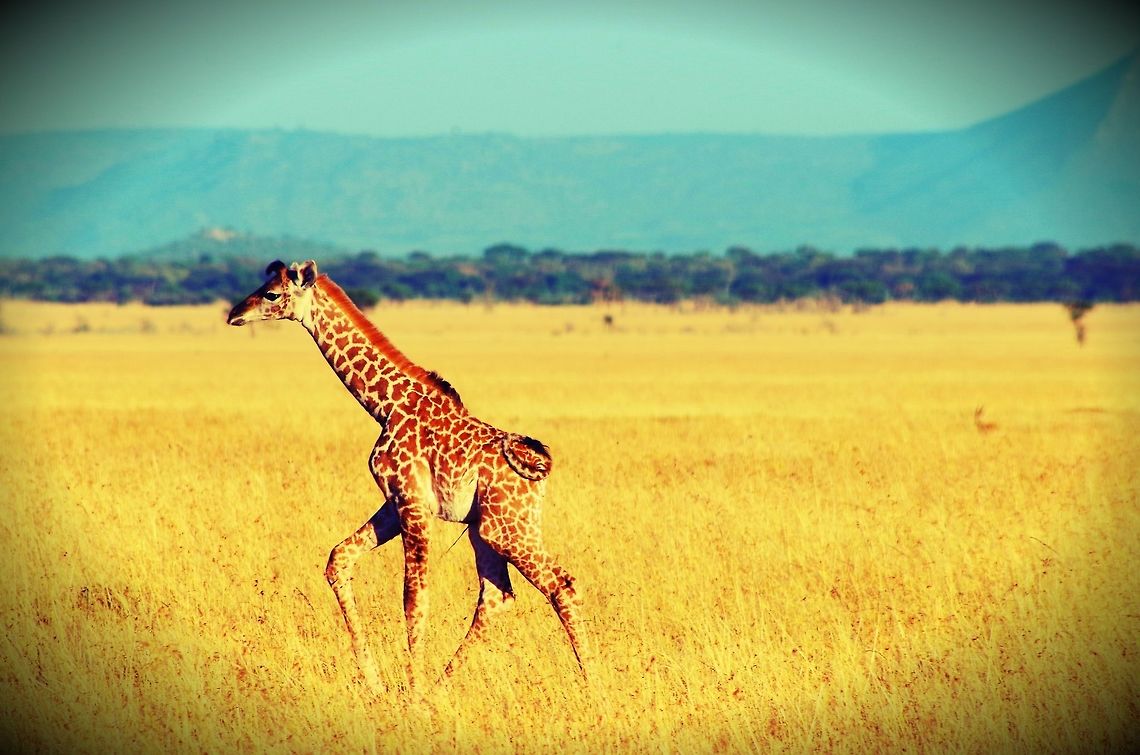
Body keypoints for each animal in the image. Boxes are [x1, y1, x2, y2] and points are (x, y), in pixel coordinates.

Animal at [227, 259, 588, 693]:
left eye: (271, 294)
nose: (234, 314)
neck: (386, 405)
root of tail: (540, 470)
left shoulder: (412, 502)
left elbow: (414, 597)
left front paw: (410, 690)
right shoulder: (394, 499)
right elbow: (338, 559)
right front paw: (375, 680)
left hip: (507, 528)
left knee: (561, 586)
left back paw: (595, 687)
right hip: (485, 529)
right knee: (497, 595)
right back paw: (440, 687)